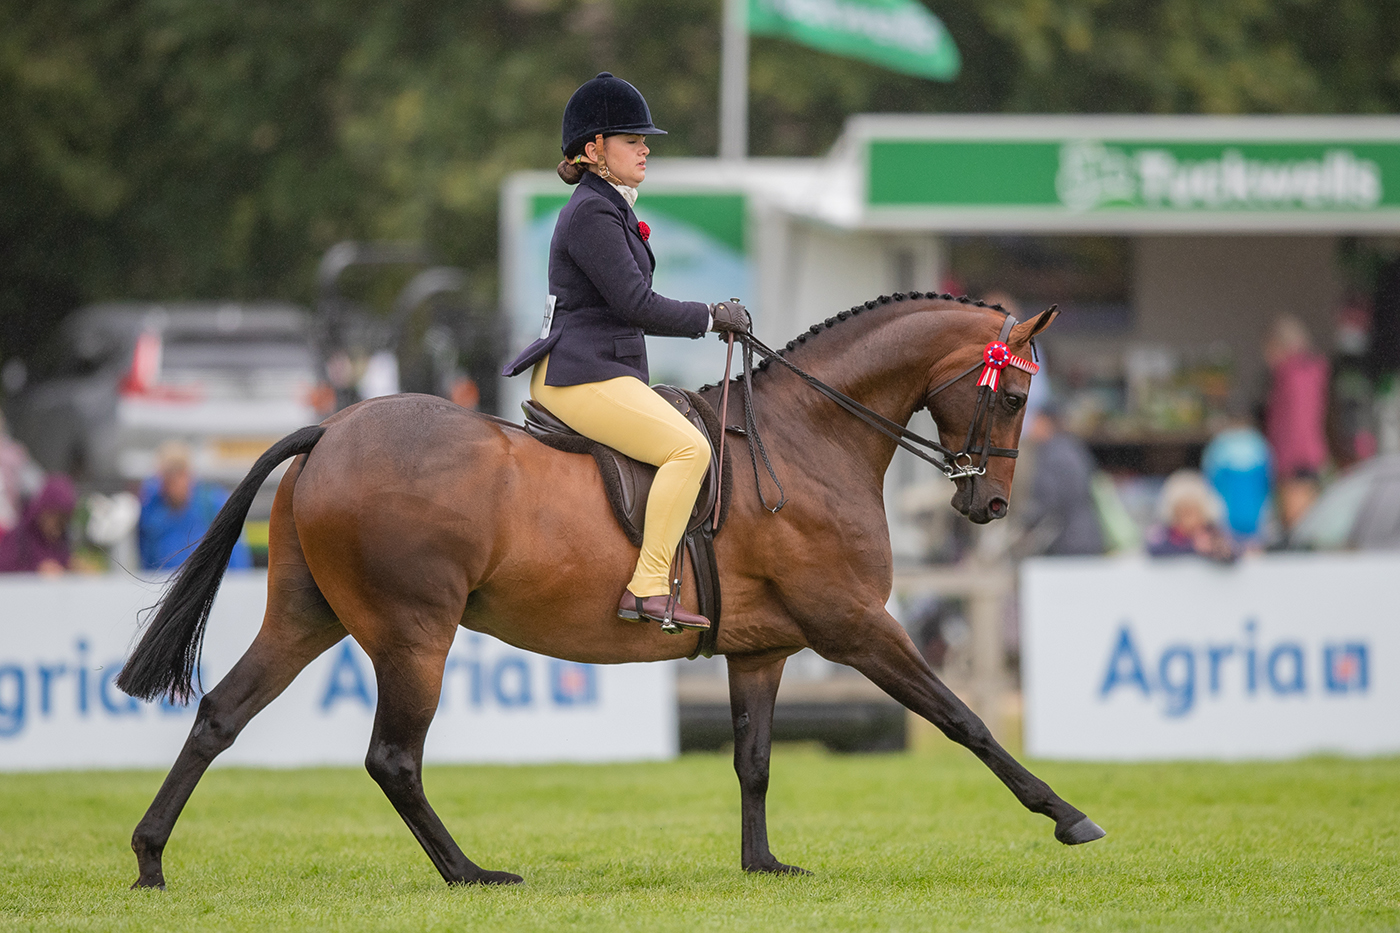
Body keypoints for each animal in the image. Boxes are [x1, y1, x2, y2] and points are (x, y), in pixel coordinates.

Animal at [116, 292, 1104, 889]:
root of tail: (330, 428)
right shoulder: (856, 626)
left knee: (222, 714)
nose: (990, 503)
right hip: (413, 633)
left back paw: (151, 859)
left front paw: (762, 863)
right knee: (392, 757)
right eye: (1013, 396)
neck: (808, 438)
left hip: (307, 614)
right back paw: (471, 874)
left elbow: (754, 759)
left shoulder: (763, 647)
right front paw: (1068, 816)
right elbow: (963, 719)